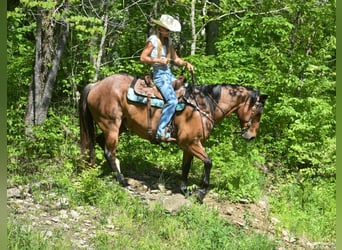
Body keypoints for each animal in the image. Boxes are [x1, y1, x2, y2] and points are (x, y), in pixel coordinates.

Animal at [79, 73, 268, 202]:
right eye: (257, 112)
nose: (251, 136)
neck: (203, 106)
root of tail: (96, 85)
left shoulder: (189, 146)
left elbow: (186, 167)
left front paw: (185, 190)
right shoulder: (190, 143)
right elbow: (208, 162)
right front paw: (201, 193)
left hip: (119, 127)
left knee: (101, 144)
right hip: (111, 125)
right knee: (109, 152)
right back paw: (123, 181)